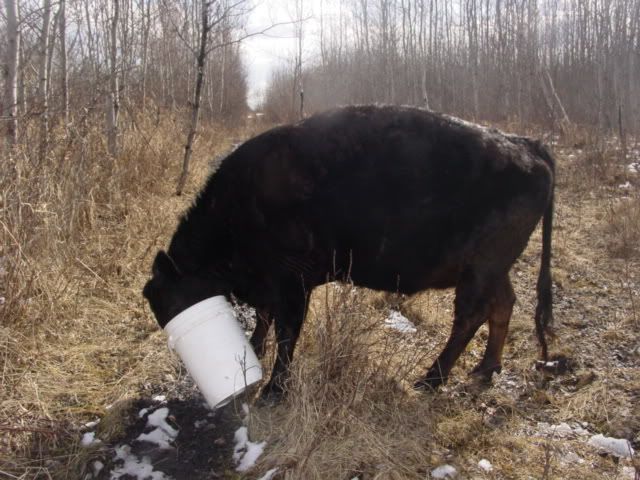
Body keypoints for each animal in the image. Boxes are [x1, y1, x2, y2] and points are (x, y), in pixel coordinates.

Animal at [143, 105, 555, 402]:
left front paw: (275, 390)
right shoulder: (271, 285)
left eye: (170, 296)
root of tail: (525, 144)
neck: (239, 207)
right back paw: (485, 369)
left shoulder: (292, 284)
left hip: (480, 270)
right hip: (493, 269)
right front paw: (255, 351)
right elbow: (265, 318)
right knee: (503, 304)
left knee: (470, 316)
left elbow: (286, 332)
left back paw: (430, 380)